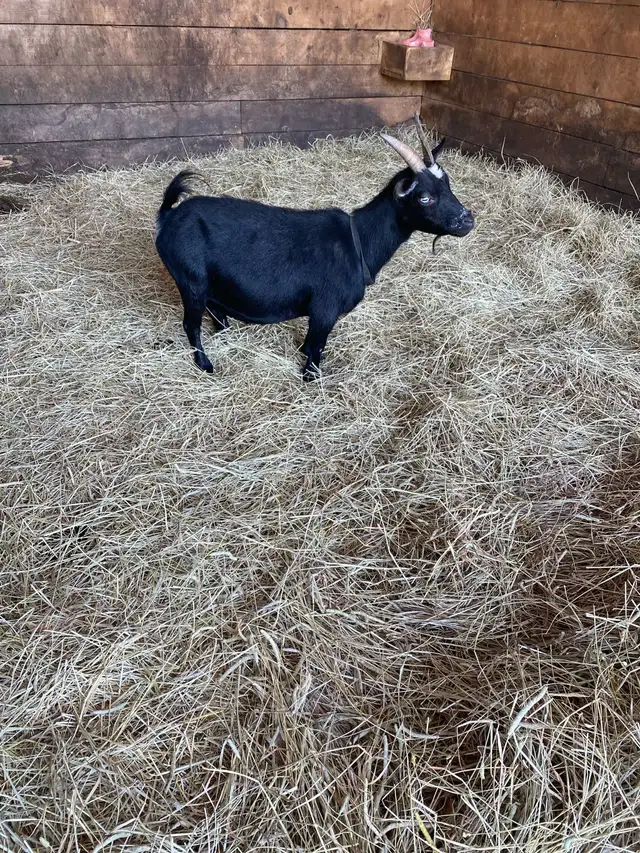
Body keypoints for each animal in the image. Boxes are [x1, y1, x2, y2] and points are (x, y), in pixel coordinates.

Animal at [155, 116, 474, 380]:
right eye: (424, 197)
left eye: (448, 185)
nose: (467, 220)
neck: (358, 241)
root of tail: (168, 217)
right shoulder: (324, 309)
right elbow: (315, 348)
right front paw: (311, 378)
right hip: (191, 280)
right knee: (191, 324)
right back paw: (205, 364)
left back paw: (224, 329)